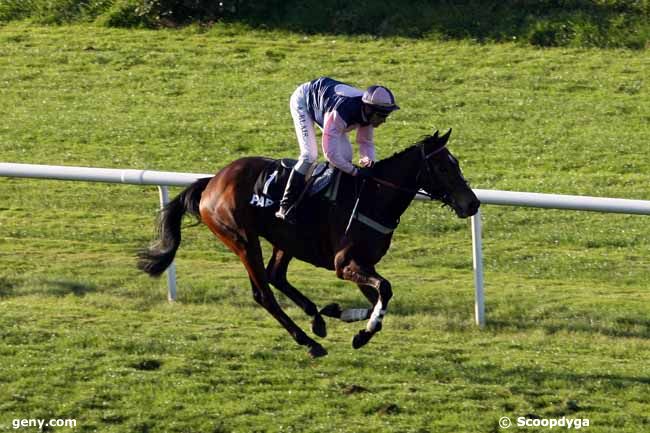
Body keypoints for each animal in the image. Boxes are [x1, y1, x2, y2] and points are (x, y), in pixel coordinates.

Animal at [137, 129, 478, 358]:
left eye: (457, 162)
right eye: (443, 167)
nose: (472, 203)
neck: (374, 196)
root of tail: (212, 182)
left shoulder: (364, 263)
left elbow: (379, 299)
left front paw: (345, 316)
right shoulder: (345, 263)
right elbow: (385, 289)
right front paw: (361, 332)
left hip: (284, 239)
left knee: (276, 276)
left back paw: (318, 318)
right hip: (241, 238)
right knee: (264, 293)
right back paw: (310, 342)